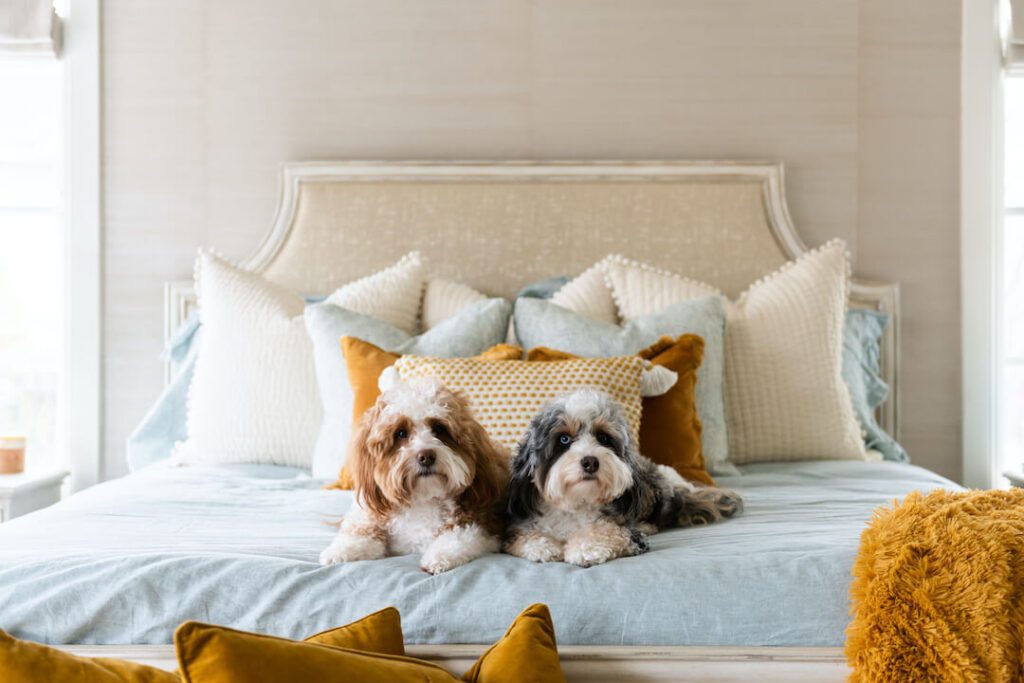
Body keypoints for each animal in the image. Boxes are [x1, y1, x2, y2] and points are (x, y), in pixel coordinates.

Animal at [319, 376, 507, 573]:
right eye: (401, 433)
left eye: (439, 429)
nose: (426, 456)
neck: (421, 499)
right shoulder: (371, 517)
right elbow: (360, 534)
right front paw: (338, 552)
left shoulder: (481, 527)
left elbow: (459, 537)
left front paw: (439, 557)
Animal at [505, 389, 741, 565]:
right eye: (564, 439)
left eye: (603, 437)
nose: (590, 462)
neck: (577, 503)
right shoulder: (520, 526)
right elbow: (526, 536)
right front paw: (543, 546)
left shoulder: (630, 537)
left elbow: (606, 532)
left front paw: (584, 548)